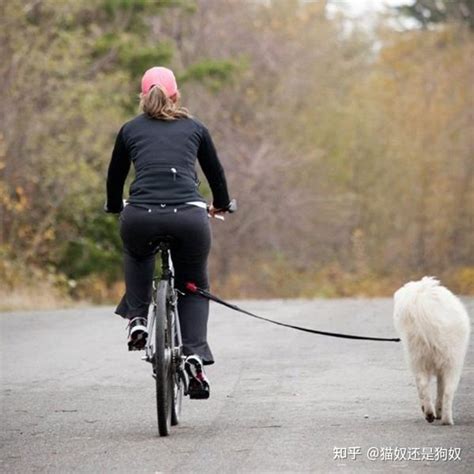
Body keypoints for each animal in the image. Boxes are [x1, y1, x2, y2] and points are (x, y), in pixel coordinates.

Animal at [392, 276, 470, 424]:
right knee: (446, 391)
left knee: (427, 386)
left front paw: (435, 411)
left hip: (420, 358)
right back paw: (442, 418)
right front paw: (438, 412)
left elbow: (436, 389)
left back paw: (434, 415)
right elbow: (440, 390)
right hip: (451, 363)